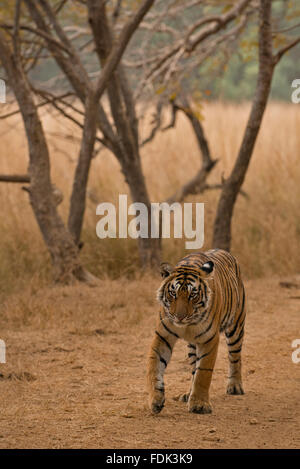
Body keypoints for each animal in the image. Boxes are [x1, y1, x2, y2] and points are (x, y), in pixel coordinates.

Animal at [148, 249, 246, 414]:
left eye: (192, 295)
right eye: (173, 293)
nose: (179, 317)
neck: (187, 325)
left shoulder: (209, 339)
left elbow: (203, 373)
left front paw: (199, 404)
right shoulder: (162, 336)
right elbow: (154, 367)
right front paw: (155, 400)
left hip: (236, 327)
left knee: (235, 358)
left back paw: (235, 386)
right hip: (192, 345)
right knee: (194, 367)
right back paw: (188, 394)